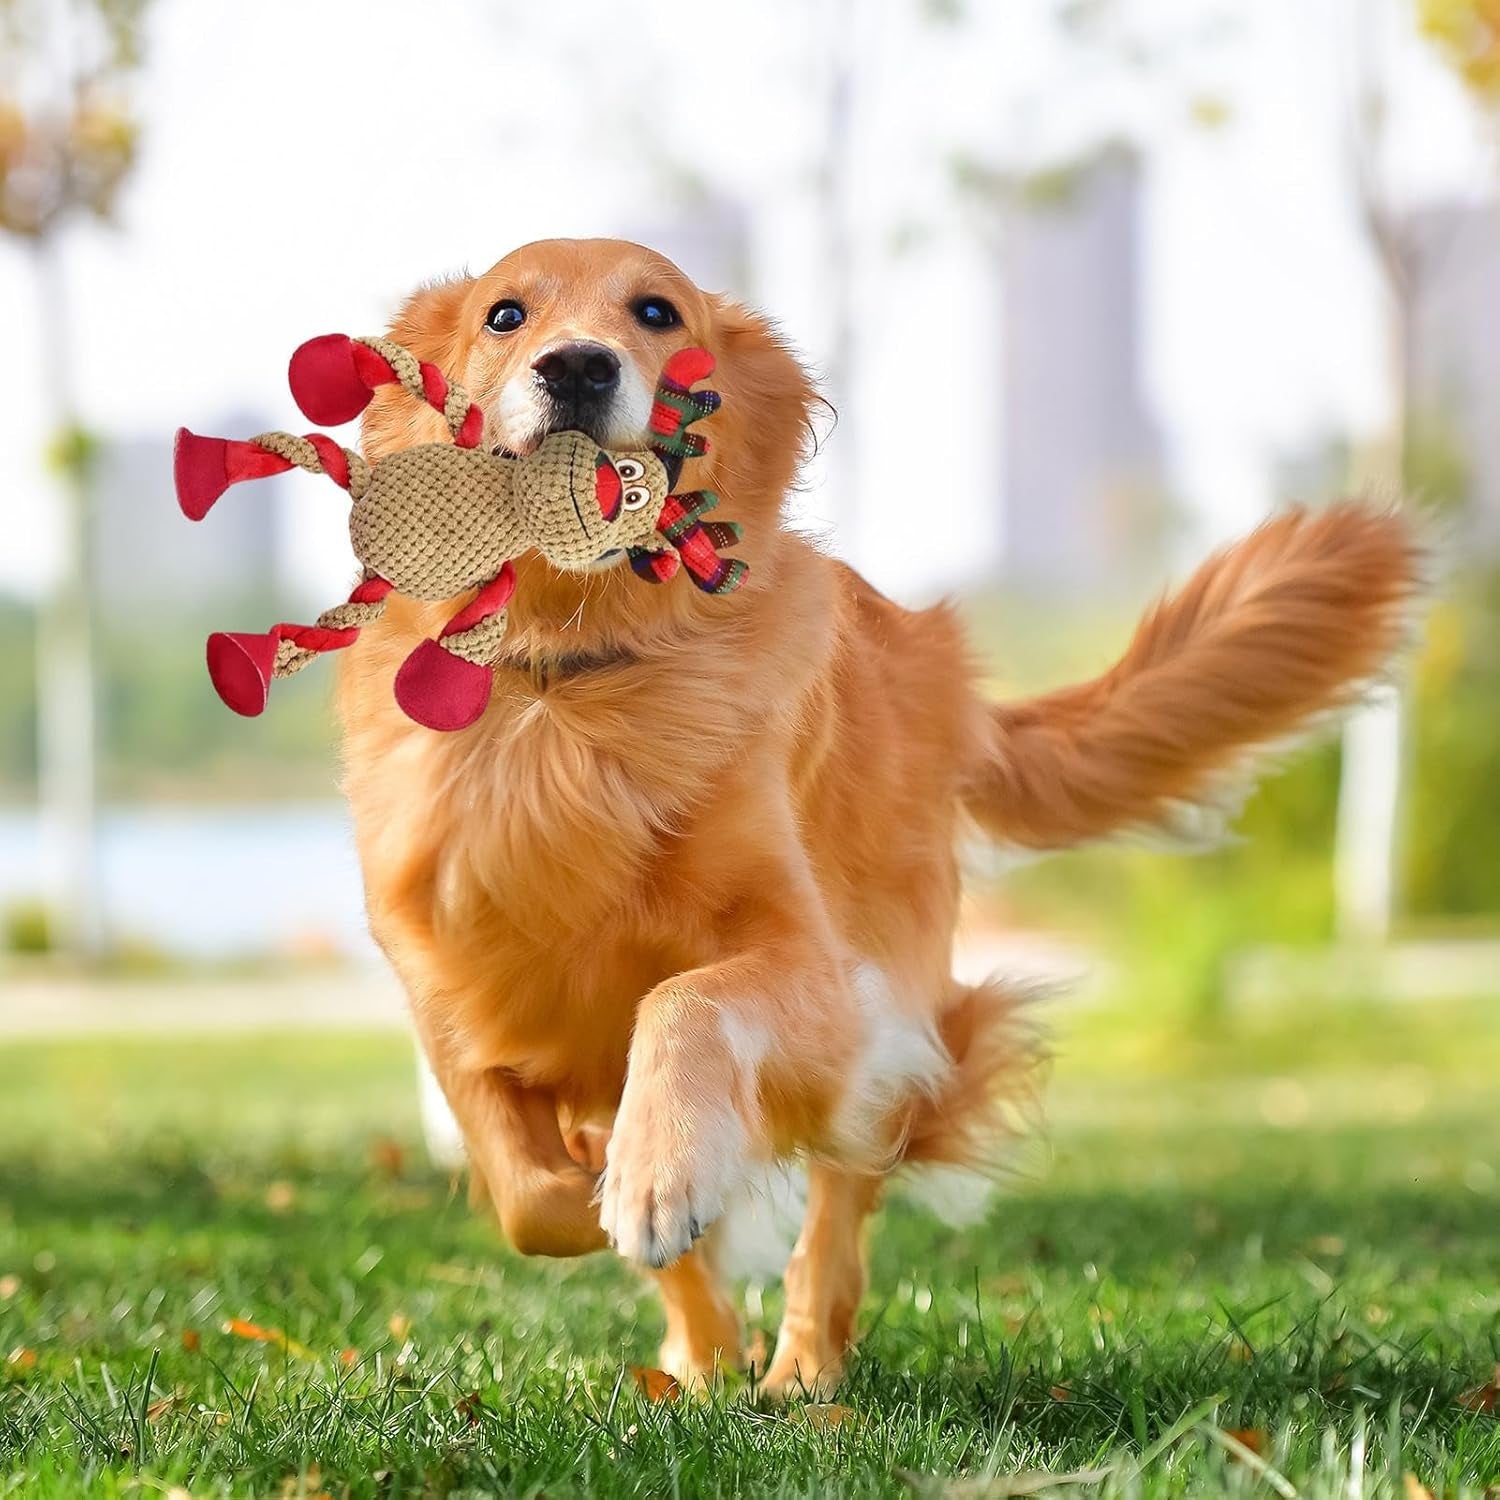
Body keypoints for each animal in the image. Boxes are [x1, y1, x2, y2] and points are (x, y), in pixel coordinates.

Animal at [340, 234, 1428, 1392]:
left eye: (656, 311)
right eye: (505, 315)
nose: (579, 367)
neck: (576, 679)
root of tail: (943, 673)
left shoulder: (817, 974)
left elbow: (680, 1004)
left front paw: (655, 1178)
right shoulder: (451, 979)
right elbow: (523, 1188)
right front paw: (621, 1198)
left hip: (887, 1010)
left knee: (836, 1220)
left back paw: (802, 1372)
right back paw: (701, 1364)